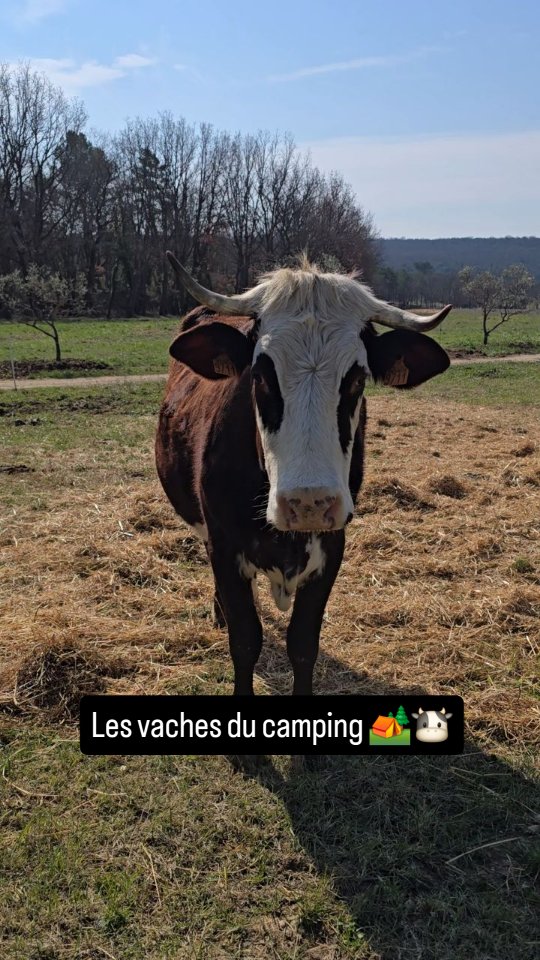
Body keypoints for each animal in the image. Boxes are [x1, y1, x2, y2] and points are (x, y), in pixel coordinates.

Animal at [155, 253, 452, 695]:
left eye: (357, 379)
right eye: (260, 375)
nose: (308, 503)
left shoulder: (332, 548)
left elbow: (303, 644)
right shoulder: (223, 548)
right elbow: (245, 640)